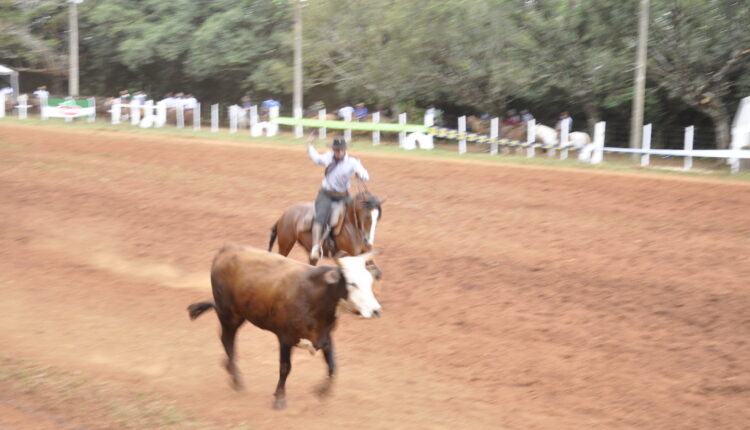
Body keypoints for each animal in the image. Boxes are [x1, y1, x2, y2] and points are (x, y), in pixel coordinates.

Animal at [187, 244, 382, 410]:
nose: (376, 310)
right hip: (228, 314)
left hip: (239, 314)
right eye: (352, 283)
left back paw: (229, 367)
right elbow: (285, 368)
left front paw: (321, 392)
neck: (316, 297)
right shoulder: (285, 339)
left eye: (369, 281)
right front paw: (280, 398)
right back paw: (236, 379)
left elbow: (333, 366)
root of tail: (226, 249)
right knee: (227, 340)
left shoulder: (325, 337)